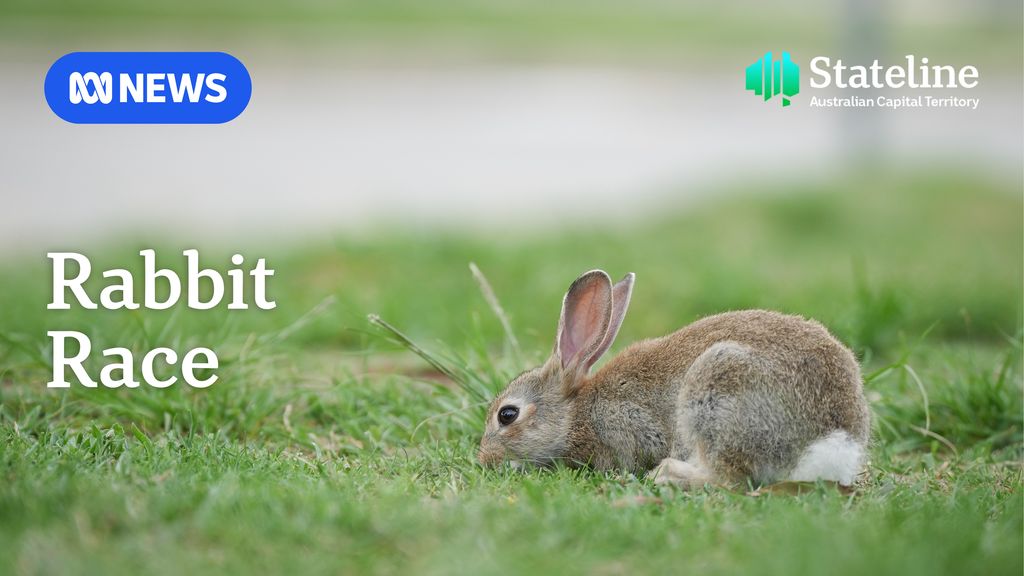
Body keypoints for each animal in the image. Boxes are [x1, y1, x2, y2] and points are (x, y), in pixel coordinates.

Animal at [477, 269, 871, 489]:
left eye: (507, 415)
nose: (483, 459)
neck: (576, 414)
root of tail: (831, 441)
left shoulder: (627, 423)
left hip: (716, 394)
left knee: (730, 478)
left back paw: (666, 475)